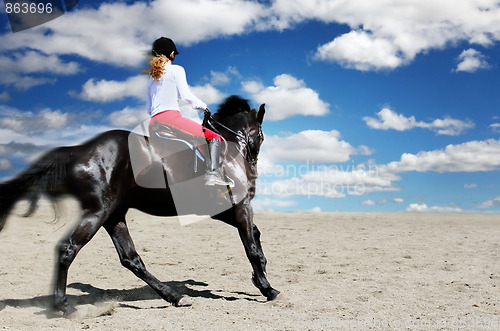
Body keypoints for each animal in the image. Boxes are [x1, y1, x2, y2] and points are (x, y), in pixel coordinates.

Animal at [0, 95, 280, 316]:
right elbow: (250, 247)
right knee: (68, 249)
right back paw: (64, 306)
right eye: (261, 135)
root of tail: (77, 150)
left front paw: (259, 278)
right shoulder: (240, 207)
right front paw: (267, 288)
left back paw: (174, 296)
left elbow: (255, 236)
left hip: (114, 215)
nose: (253, 167)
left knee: (131, 259)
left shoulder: (223, 211)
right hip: (97, 212)